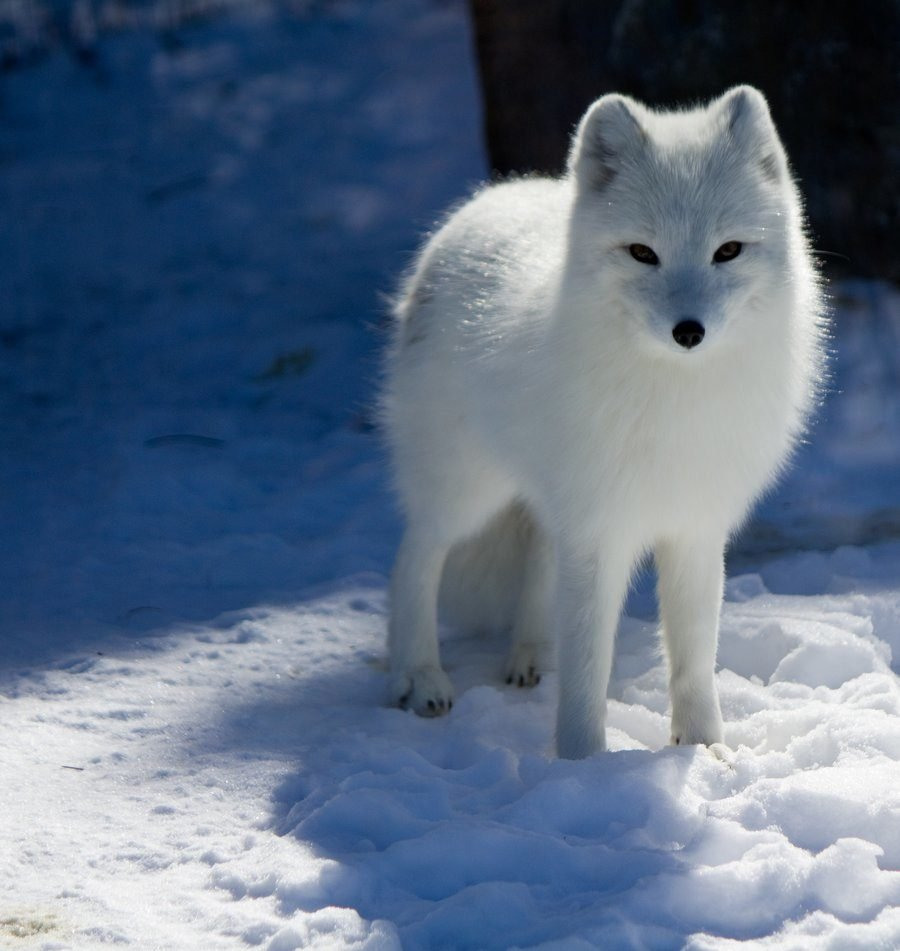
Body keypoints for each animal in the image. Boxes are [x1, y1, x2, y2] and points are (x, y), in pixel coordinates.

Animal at [380, 87, 824, 760]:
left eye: (727, 250)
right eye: (643, 253)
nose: (688, 332)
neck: (674, 398)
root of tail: (489, 198)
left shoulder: (693, 527)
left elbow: (692, 659)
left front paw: (703, 750)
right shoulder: (598, 530)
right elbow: (591, 663)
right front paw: (583, 761)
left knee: (536, 559)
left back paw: (531, 655)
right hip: (465, 491)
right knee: (415, 558)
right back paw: (421, 676)